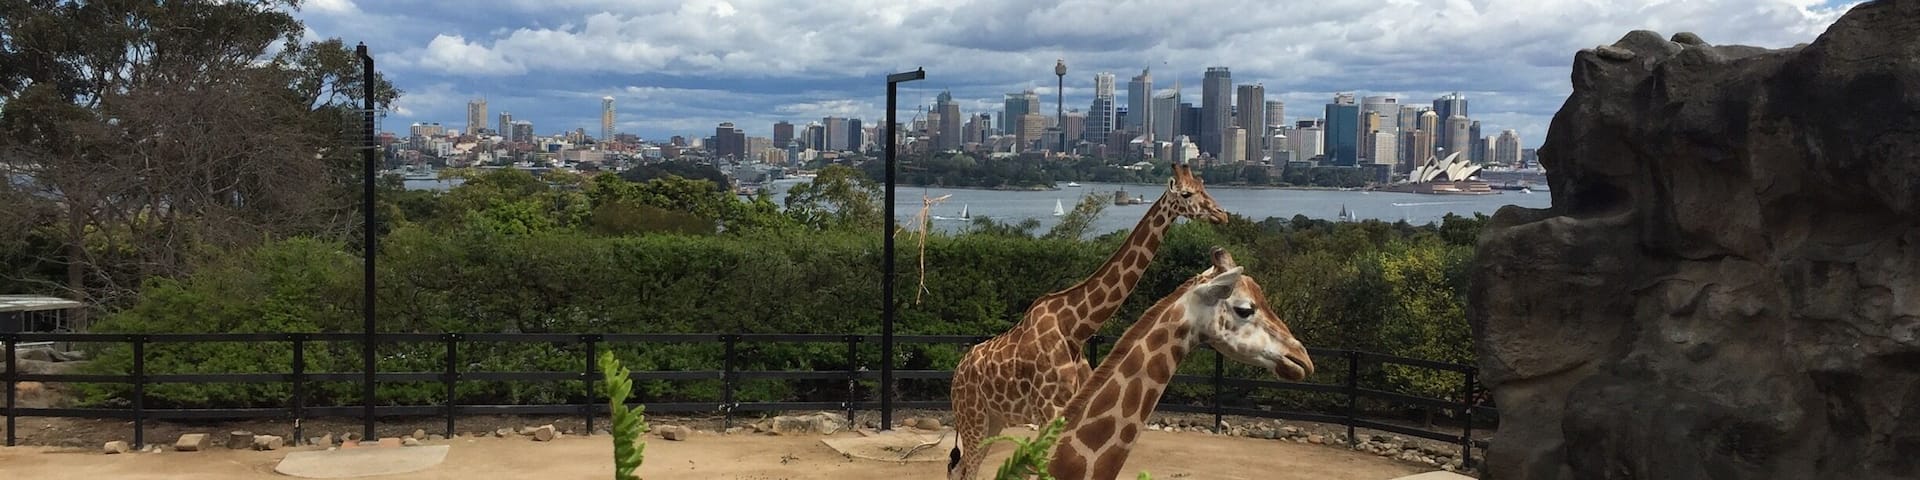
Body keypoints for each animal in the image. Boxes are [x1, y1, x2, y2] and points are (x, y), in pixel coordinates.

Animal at [946, 164, 1230, 480]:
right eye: (1186, 193)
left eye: (1204, 186)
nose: (1222, 214)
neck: (1076, 327)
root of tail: (957, 372)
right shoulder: (1049, 409)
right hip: (973, 416)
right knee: (965, 469)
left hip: (994, 420)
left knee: (959, 467)